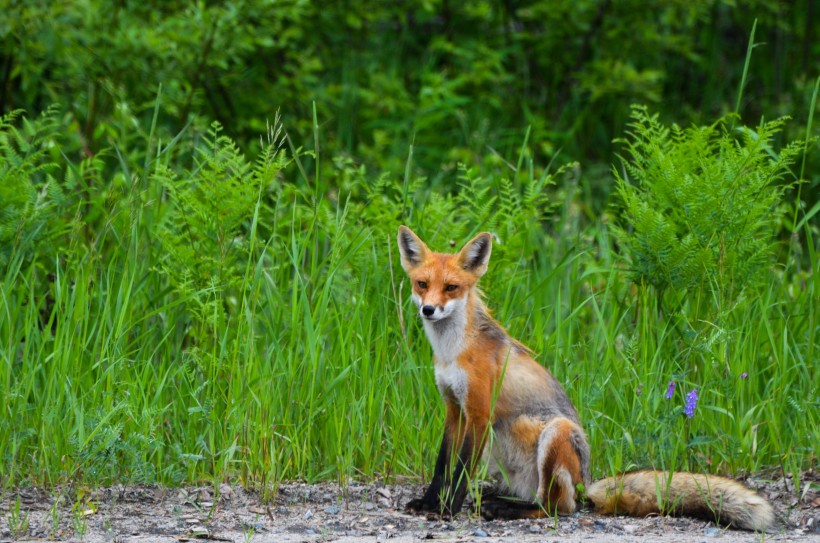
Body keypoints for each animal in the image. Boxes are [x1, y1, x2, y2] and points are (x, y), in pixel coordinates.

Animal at [398, 224, 776, 532]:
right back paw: (500, 501)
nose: (428, 310)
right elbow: (441, 464)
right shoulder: (453, 407)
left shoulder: (478, 413)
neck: (452, 352)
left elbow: (460, 471)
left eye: (451, 287)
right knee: (543, 499)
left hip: (557, 432)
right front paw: (429, 502)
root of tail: (588, 482)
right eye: (422, 284)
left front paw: (448, 510)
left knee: (557, 507)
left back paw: (506, 511)